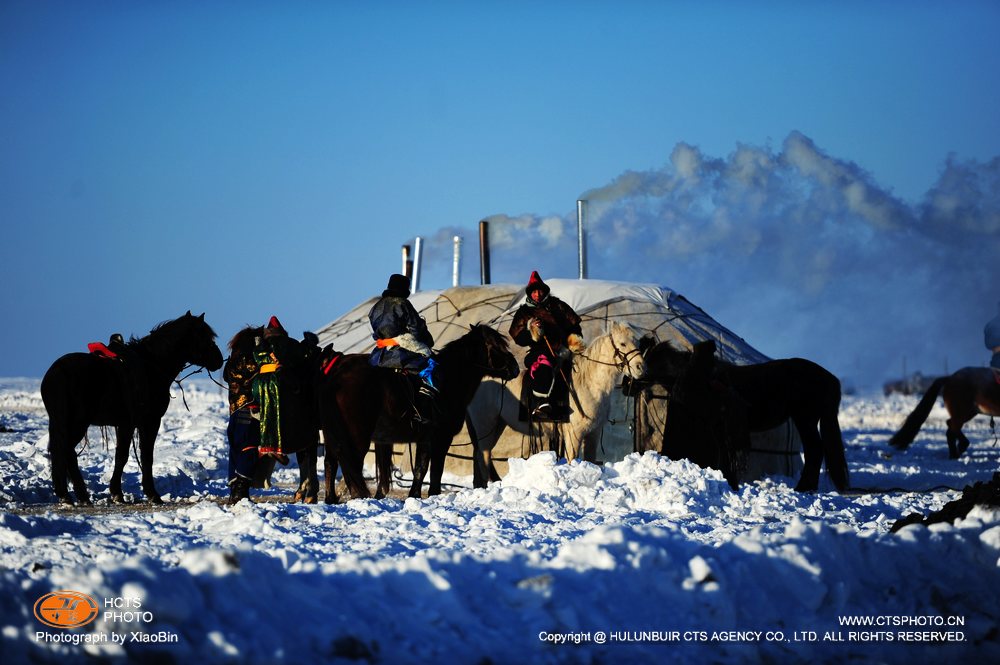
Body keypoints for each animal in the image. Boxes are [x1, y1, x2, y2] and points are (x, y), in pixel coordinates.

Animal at [40, 312, 223, 504]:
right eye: (205, 337)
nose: (219, 359)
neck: (151, 366)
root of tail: (57, 373)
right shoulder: (145, 422)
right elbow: (136, 456)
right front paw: (142, 493)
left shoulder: (128, 424)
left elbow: (128, 455)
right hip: (77, 423)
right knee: (66, 451)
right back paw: (75, 495)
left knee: (63, 452)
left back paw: (71, 495)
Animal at [320, 324, 520, 500]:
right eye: (495, 346)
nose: (515, 368)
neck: (449, 380)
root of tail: (337, 373)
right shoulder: (441, 437)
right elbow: (435, 470)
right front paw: (432, 494)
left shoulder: (425, 439)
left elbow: (420, 468)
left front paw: (414, 495)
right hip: (356, 437)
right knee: (350, 464)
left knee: (331, 462)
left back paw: (331, 499)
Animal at [464, 320, 644, 486]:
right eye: (622, 343)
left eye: (637, 342)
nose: (641, 368)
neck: (589, 384)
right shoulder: (573, 434)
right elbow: (572, 459)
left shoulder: (593, 433)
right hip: (485, 426)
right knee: (483, 457)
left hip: (496, 426)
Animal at [644, 340, 848, 490]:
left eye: (648, 363)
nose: (637, 379)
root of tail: (831, 379)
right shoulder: (718, 427)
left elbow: (726, 456)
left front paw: (731, 484)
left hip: (805, 419)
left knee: (815, 449)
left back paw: (803, 488)